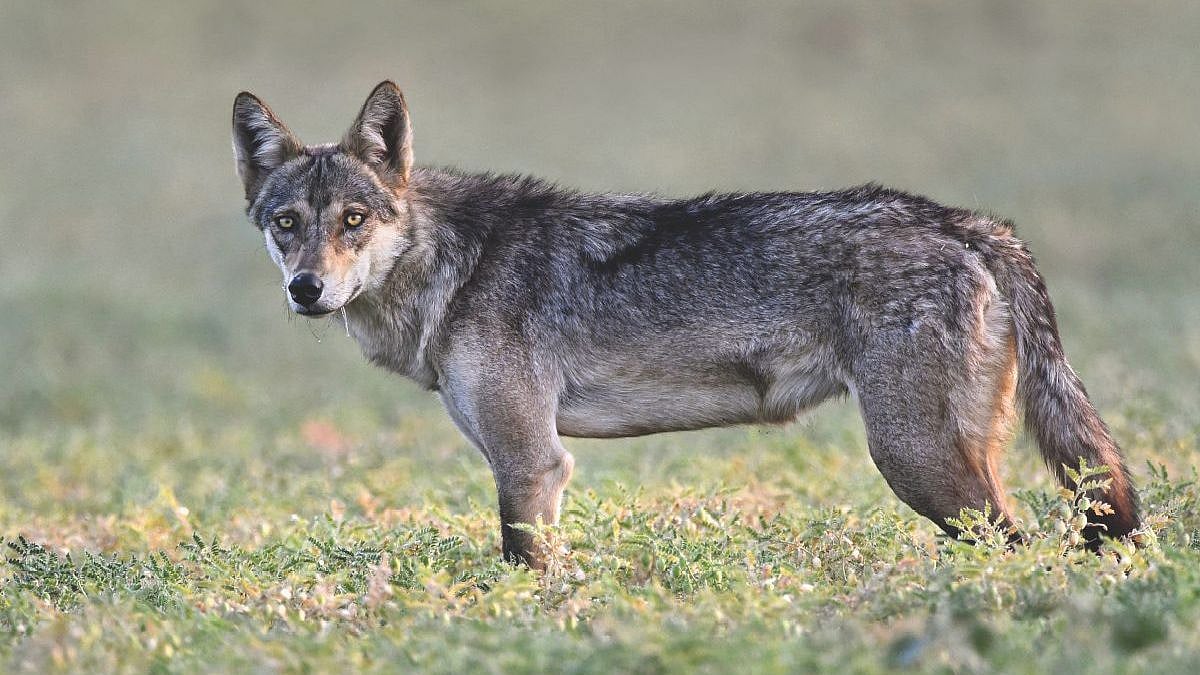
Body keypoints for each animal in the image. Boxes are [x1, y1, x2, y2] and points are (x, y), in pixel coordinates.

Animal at [231, 81, 1139, 567]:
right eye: (287, 224)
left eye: (353, 220)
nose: (307, 289)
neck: (458, 263)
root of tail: (967, 222)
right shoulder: (528, 463)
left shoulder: (532, 464)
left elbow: (525, 575)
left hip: (918, 466)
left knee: (1023, 552)